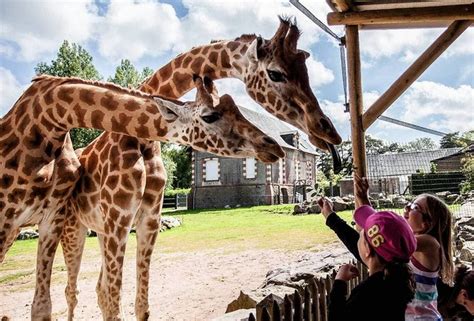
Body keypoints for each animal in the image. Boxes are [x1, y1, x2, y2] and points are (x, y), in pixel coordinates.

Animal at [58, 17, 340, 320]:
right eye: (275, 73)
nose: (328, 132)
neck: (141, 139)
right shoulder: (117, 218)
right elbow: (114, 304)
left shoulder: (147, 219)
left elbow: (139, 306)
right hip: (73, 227)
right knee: (71, 291)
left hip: (97, 230)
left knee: (96, 289)